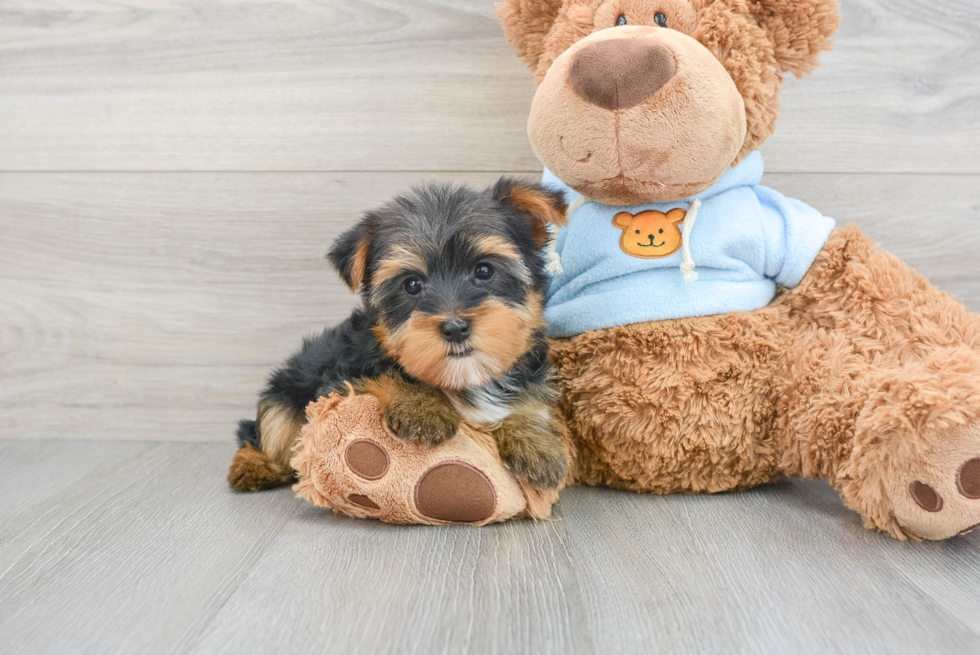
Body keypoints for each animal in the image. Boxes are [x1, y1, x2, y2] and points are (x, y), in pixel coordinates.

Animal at [227, 178, 572, 492]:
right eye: (412, 285)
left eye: (484, 270)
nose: (455, 327)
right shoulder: (338, 381)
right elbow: (386, 377)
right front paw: (422, 407)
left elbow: (529, 399)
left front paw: (534, 440)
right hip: (284, 394)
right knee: (264, 430)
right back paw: (252, 466)